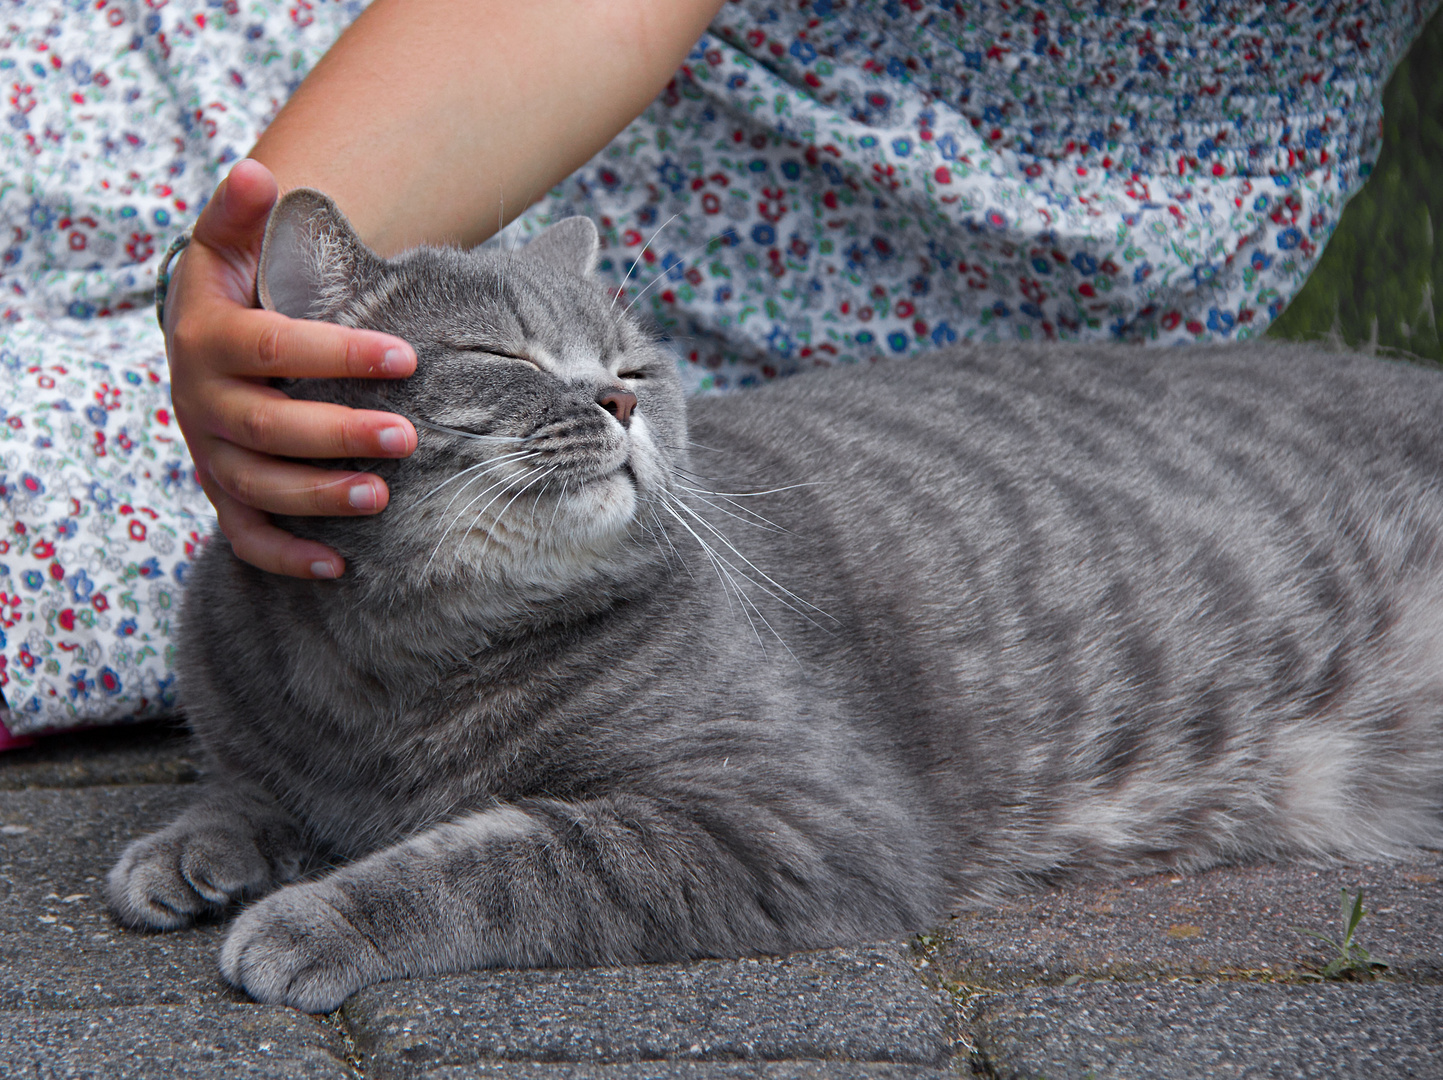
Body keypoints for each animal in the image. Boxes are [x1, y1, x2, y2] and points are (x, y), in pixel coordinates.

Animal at [104, 187, 1443, 1010]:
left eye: (637, 367)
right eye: (504, 358)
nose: (618, 402)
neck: (396, 678)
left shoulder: (790, 819)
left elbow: (499, 858)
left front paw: (317, 918)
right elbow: (246, 786)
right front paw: (194, 848)